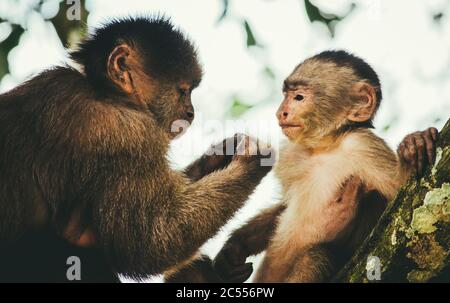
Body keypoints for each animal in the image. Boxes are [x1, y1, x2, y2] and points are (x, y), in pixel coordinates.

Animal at [0, 16, 272, 282]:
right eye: (183, 91)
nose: (190, 113)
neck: (104, 92)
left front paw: (218, 156)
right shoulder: (127, 131)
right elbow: (148, 245)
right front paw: (251, 160)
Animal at [213, 50, 438, 284]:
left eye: (299, 97)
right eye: (286, 95)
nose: (281, 112)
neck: (326, 147)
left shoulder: (363, 146)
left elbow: (400, 208)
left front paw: (413, 147)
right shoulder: (292, 153)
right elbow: (284, 206)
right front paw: (236, 246)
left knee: (316, 257)